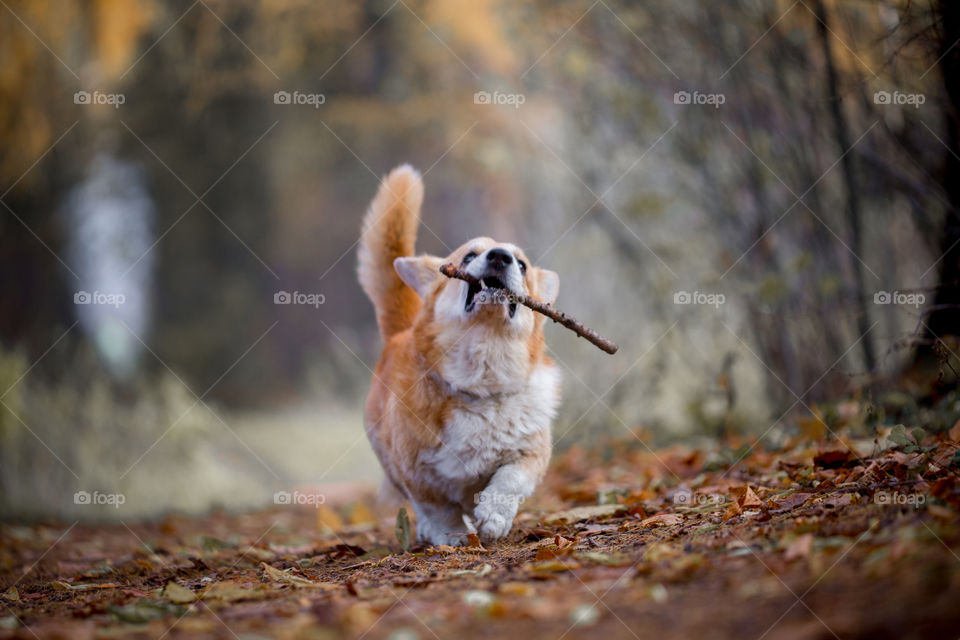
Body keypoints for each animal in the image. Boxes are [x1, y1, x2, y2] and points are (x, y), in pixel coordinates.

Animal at [356, 164, 560, 544]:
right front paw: (452, 536)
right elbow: (438, 507)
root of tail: (399, 332)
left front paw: (494, 516)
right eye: (468, 256)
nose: (500, 256)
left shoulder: (531, 454)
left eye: (522, 264)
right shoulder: (418, 474)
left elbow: (509, 479)